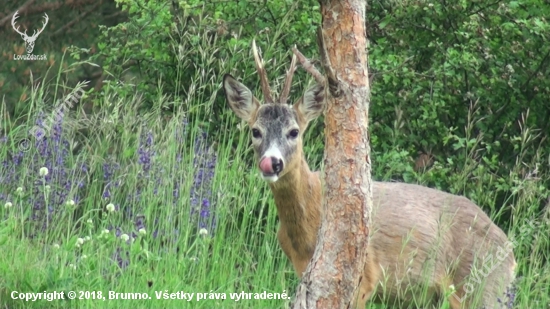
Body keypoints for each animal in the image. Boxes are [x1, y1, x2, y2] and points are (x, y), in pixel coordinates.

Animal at [223, 41, 516, 308]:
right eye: (255, 131)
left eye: (294, 131)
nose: (271, 163)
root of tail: (510, 252)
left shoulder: (365, 277)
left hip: (483, 288)